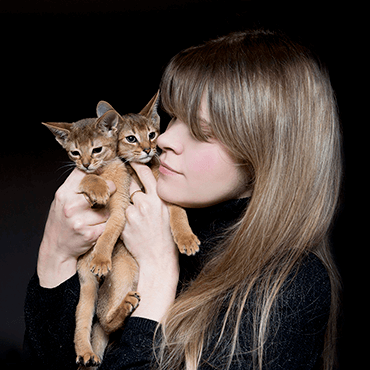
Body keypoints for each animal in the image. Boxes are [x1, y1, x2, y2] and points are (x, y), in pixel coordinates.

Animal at [42, 92, 201, 368]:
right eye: (131, 138)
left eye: (152, 134)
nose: (148, 150)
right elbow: (88, 179)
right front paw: (96, 185)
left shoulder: (153, 194)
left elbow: (178, 211)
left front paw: (186, 238)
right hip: (110, 274)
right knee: (96, 320)